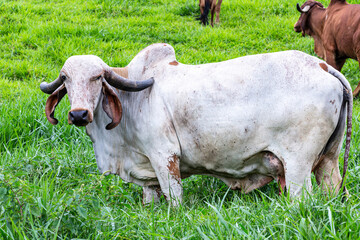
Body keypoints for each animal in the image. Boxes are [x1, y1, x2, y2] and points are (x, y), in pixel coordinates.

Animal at [40, 44, 352, 205]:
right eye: (66, 79)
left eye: (97, 78)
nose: (79, 115)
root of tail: (323, 66)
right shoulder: (146, 171)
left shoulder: (164, 156)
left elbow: (174, 198)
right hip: (329, 159)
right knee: (332, 186)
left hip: (297, 164)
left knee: (303, 198)